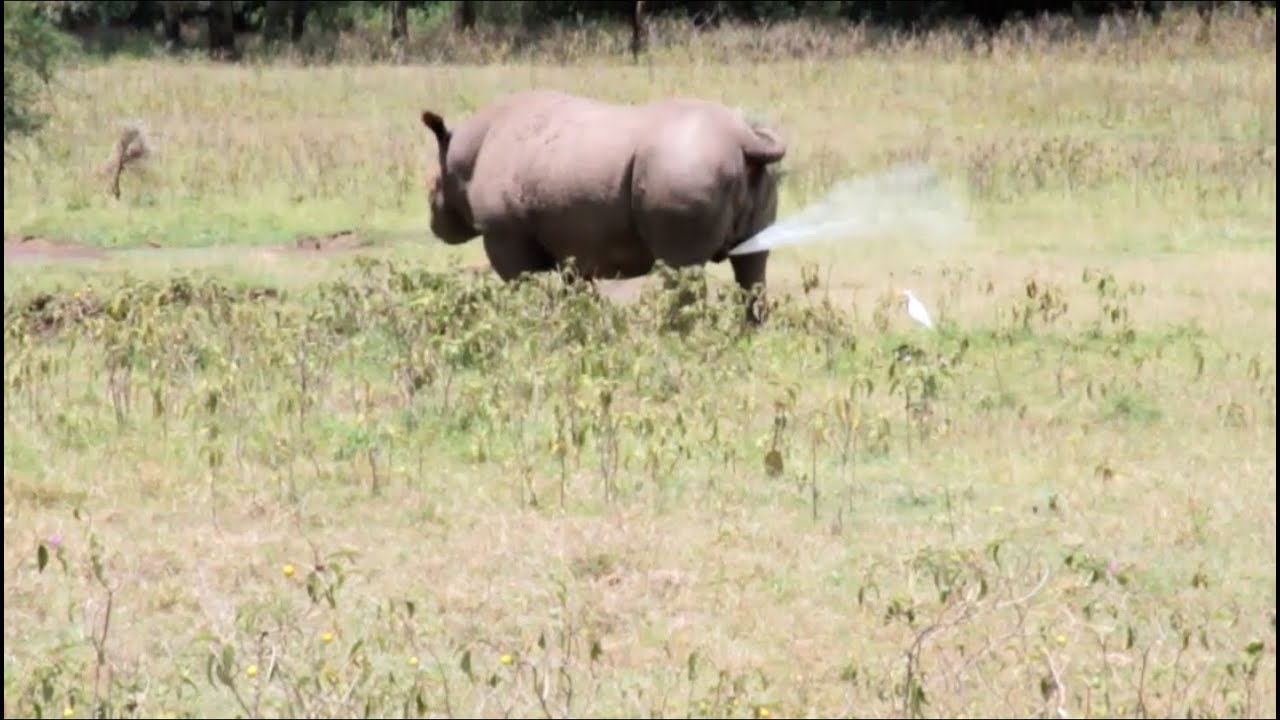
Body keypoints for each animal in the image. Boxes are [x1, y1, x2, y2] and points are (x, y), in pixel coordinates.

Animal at [419, 89, 788, 324]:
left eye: (432, 187)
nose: (435, 227)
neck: (461, 158)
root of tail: (743, 138)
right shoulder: (571, 241)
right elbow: (576, 287)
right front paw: (583, 321)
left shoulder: (502, 231)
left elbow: (523, 284)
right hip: (739, 172)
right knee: (753, 263)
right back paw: (749, 332)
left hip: (683, 166)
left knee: (682, 267)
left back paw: (676, 333)